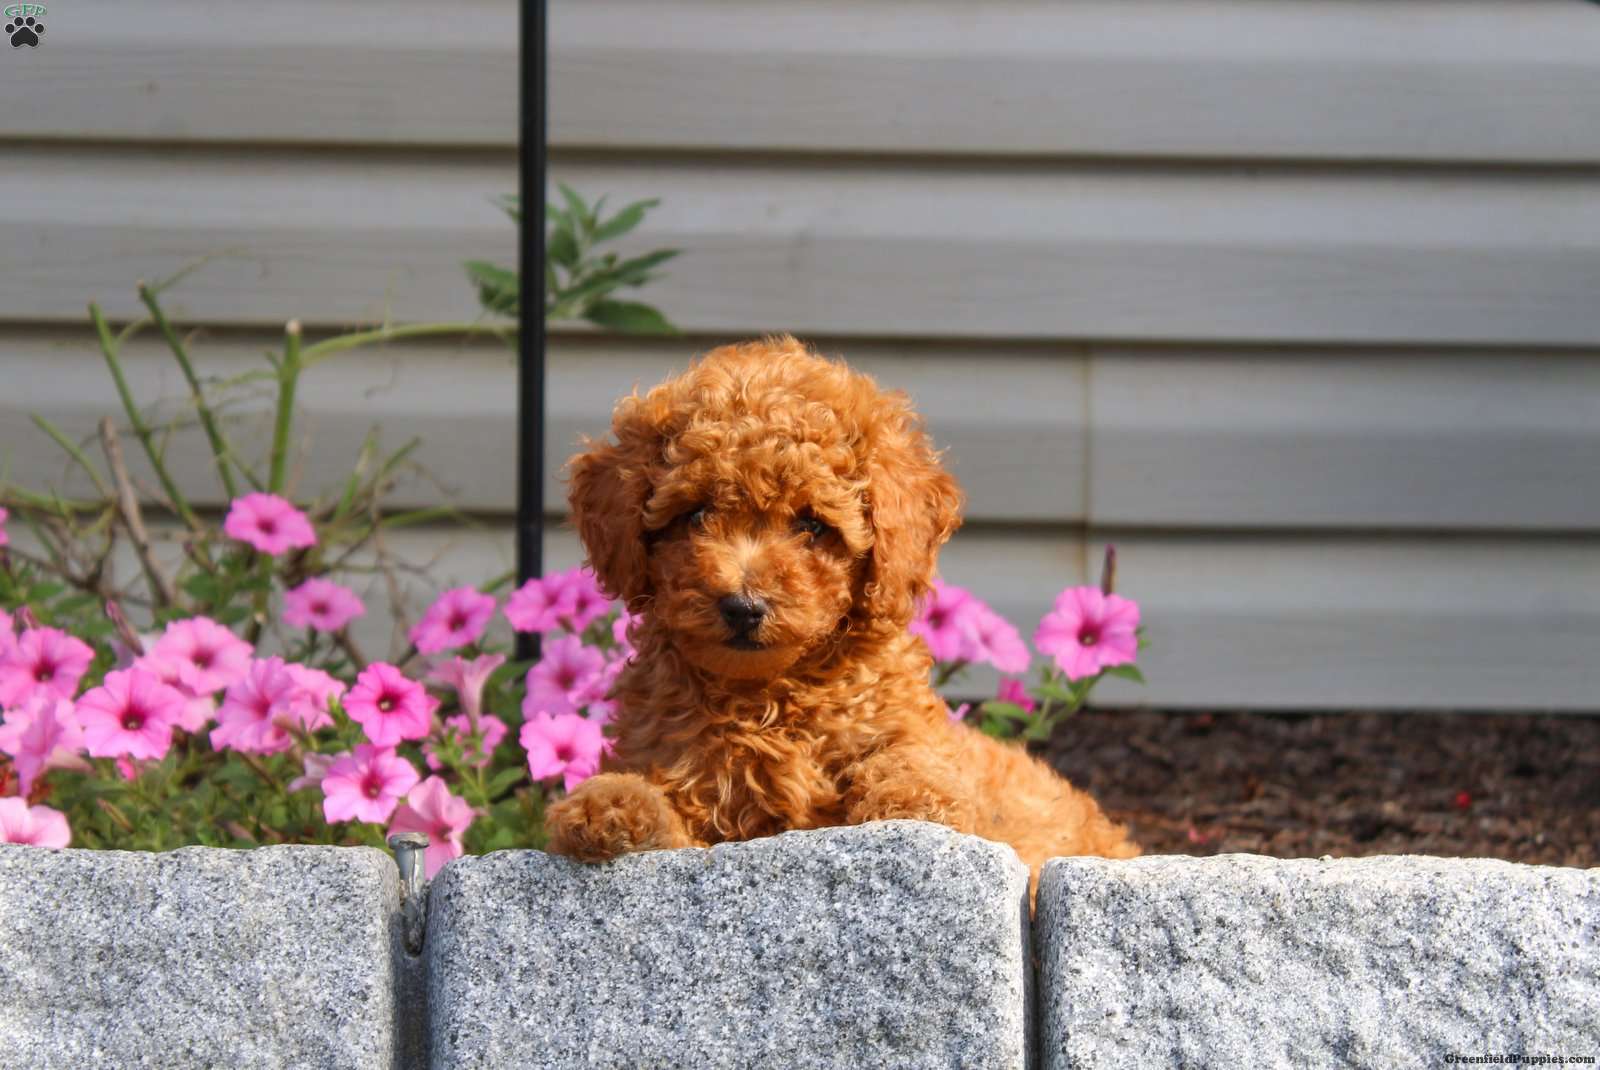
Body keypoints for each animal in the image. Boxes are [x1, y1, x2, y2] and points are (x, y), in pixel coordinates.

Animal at [550, 335, 1139, 882]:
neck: (767, 699)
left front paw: (913, 800)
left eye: (812, 524)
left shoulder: (907, 732)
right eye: (695, 515)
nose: (743, 606)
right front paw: (612, 805)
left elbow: (908, 761)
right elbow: (662, 800)